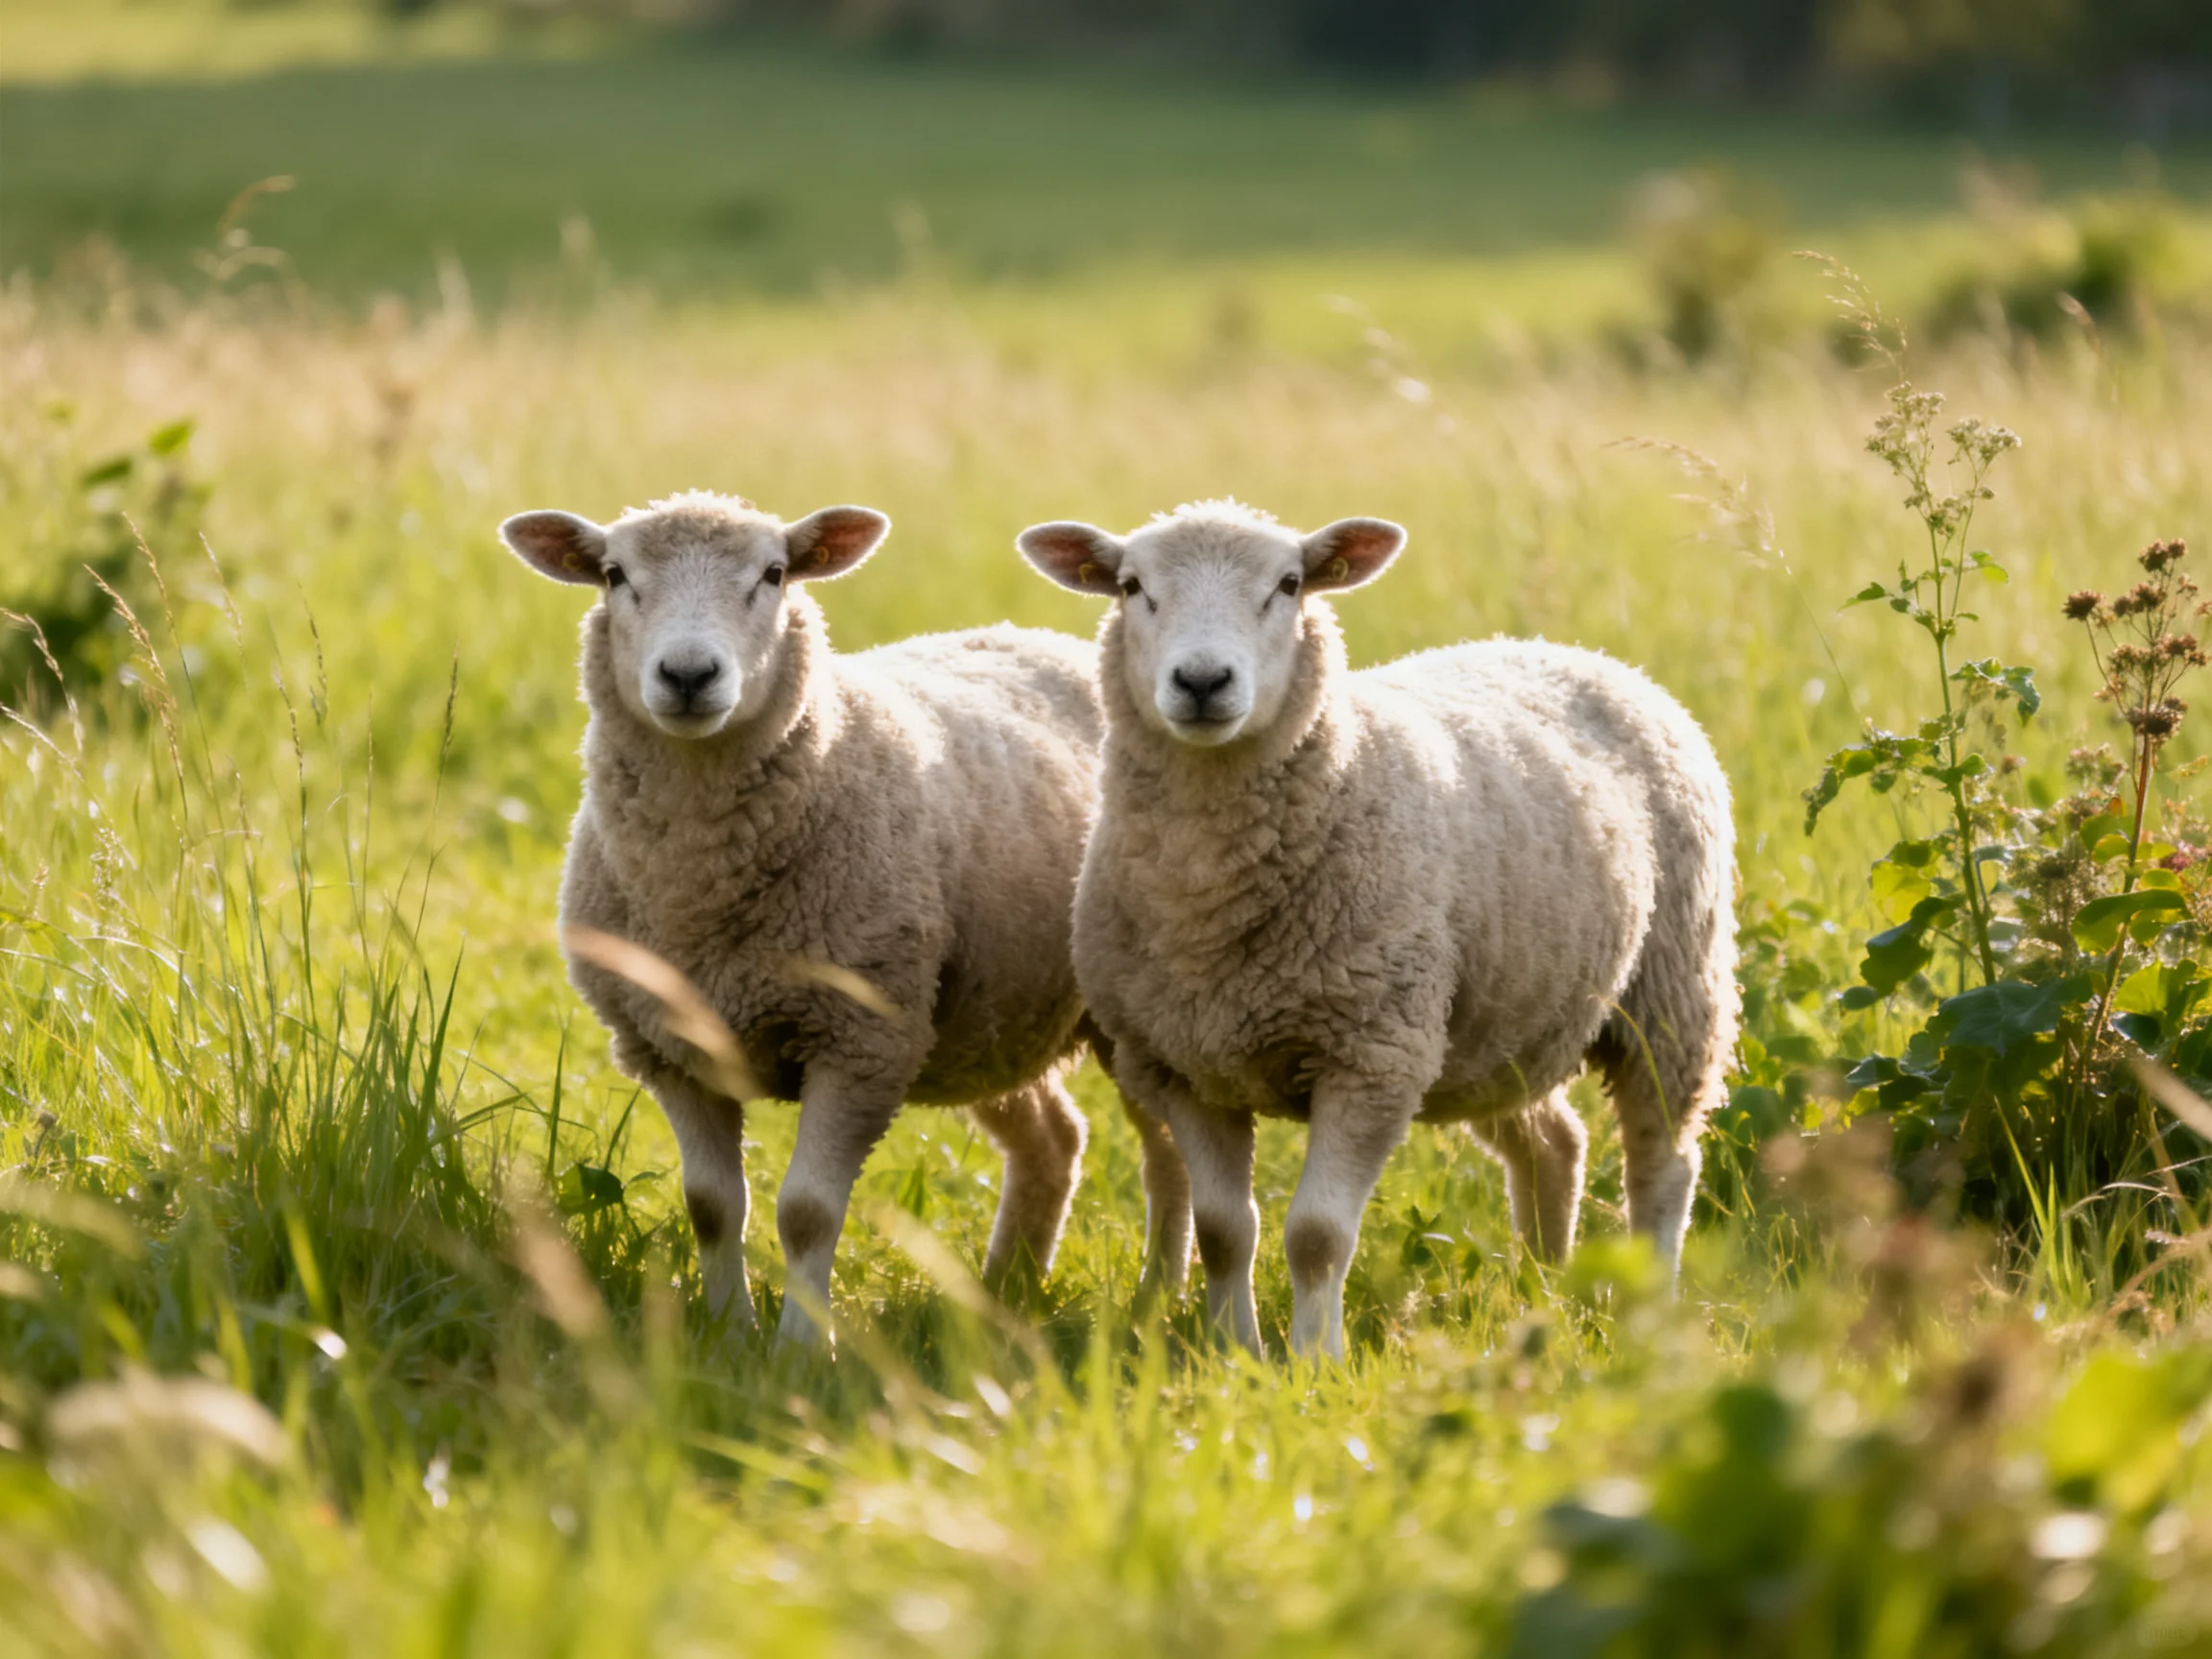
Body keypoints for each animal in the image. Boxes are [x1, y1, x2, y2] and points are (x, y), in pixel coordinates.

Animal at [502, 490, 1192, 1347]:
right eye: (613, 575)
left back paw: (1156, 1300)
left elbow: (806, 1212)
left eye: (773, 574)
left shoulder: (861, 1039)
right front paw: (727, 1335)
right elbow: (711, 1208)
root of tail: (1039, 635)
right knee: (1054, 1139)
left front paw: (803, 1347)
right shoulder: (669, 1046)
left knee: (1168, 1154)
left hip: (1113, 1013)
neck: (700, 888)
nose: (689, 675)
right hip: (983, 1013)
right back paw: (1002, 1296)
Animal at [1017, 499, 1738, 1360]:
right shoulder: (1181, 1064)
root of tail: (1574, 653)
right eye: (1131, 587)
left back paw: (1648, 1312)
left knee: (1663, 1160)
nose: (1201, 681)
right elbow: (1225, 1229)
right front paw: (1234, 1354)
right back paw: (1542, 1289)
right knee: (1555, 1144)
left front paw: (1313, 1362)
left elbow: (1317, 1235)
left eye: (1289, 585)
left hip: (1673, 988)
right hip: (1496, 1026)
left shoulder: (1371, 1056)